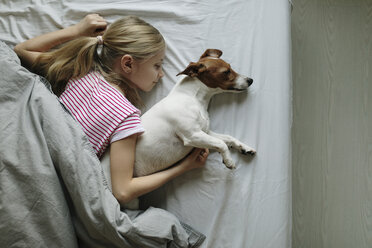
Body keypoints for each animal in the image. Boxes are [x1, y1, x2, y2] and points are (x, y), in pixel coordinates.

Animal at [132, 48, 258, 176]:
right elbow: (221, 143)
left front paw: (244, 147)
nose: (251, 80)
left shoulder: (205, 131)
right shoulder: (192, 135)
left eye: (230, 67)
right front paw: (228, 160)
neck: (194, 98)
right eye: (226, 71)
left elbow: (228, 138)